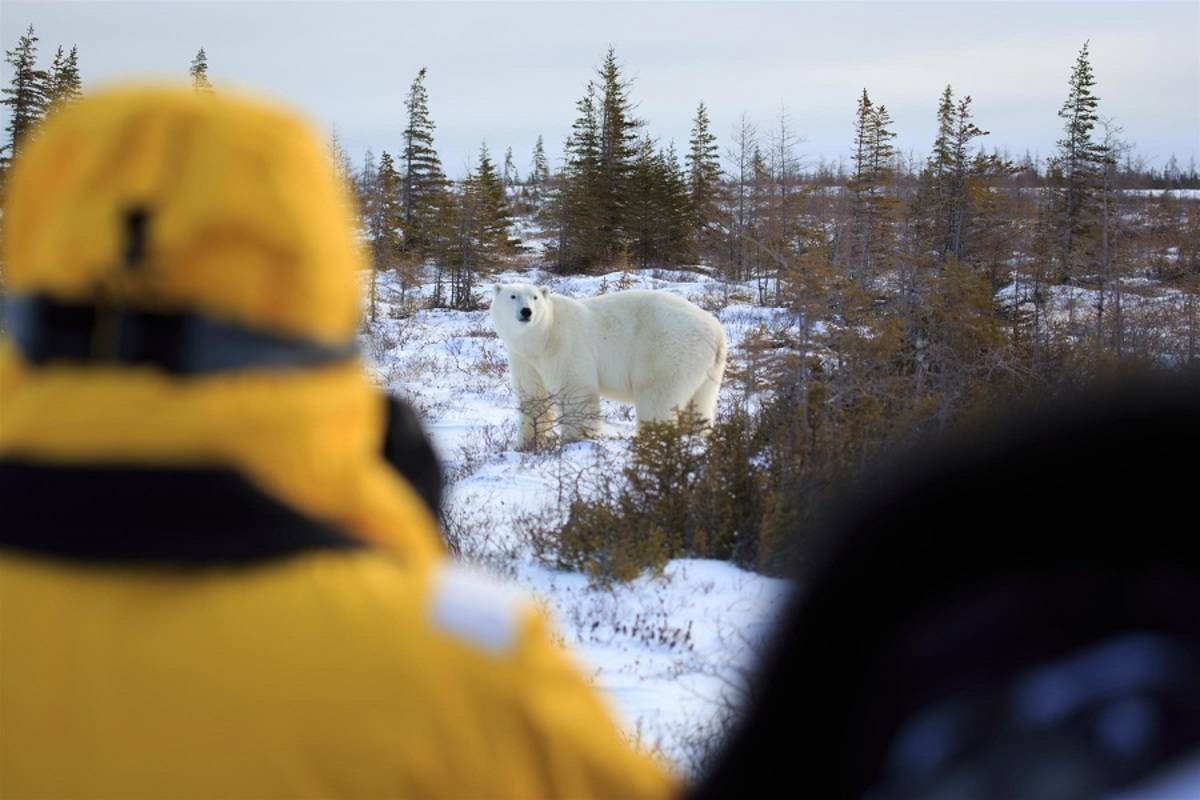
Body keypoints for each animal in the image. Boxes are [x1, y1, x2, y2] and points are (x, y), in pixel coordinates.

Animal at [487, 283, 720, 450]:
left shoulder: (566, 344)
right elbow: (532, 396)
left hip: (668, 349)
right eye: (513, 296)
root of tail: (717, 333)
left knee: (657, 394)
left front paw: (575, 439)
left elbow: (575, 390)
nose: (526, 312)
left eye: (535, 297)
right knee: (700, 402)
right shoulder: (523, 357)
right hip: (706, 368)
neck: (542, 337)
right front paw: (526, 442)